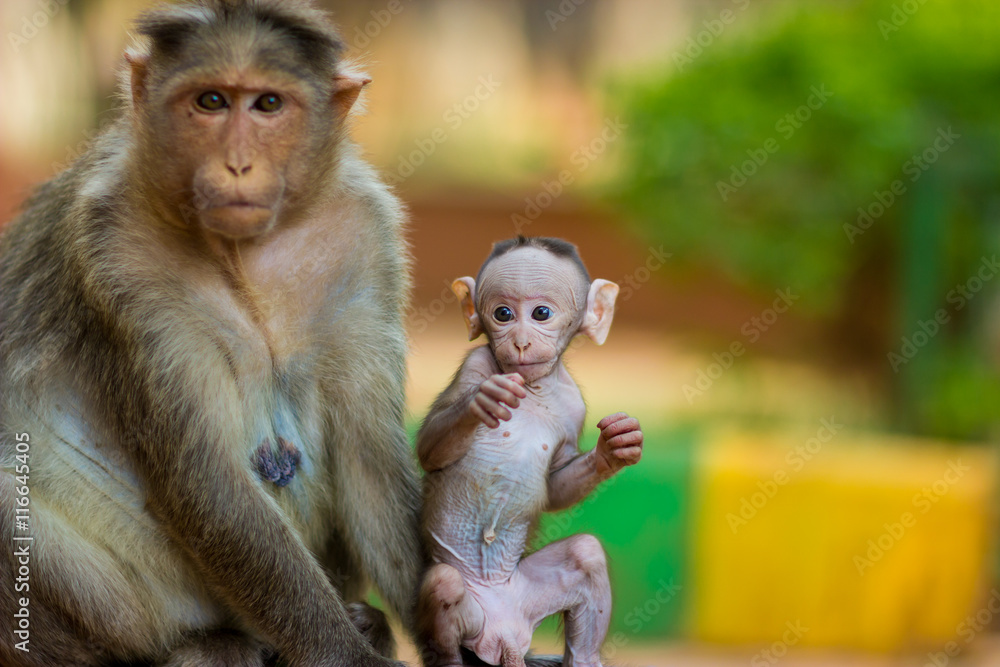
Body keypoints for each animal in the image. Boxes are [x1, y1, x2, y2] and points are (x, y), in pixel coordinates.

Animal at [0, 1, 423, 665]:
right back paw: (203, 644)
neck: (245, 253)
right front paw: (349, 655)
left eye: (268, 105)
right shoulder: (116, 252)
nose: (238, 164)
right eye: (211, 101)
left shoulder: (366, 236)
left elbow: (371, 463)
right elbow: (207, 480)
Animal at [415, 237, 644, 667]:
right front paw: (483, 400)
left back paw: (585, 658)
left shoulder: (574, 407)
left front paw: (614, 449)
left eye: (541, 313)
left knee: (586, 555)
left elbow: (556, 486)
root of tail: (504, 636)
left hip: (525, 597)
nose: (520, 340)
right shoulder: (476, 363)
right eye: (502, 314)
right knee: (444, 584)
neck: (536, 388)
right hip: (474, 613)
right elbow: (429, 449)